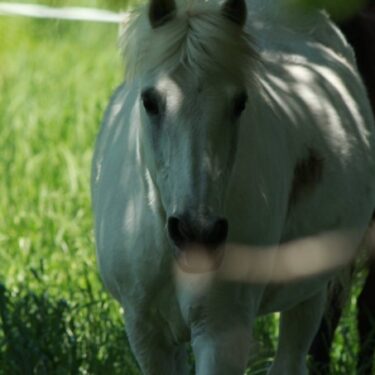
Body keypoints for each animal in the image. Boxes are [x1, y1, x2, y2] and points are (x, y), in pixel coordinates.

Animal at [91, 0, 375, 374]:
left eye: (240, 102)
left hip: (308, 294)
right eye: (150, 101)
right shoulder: (147, 335)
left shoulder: (222, 333)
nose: (197, 232)